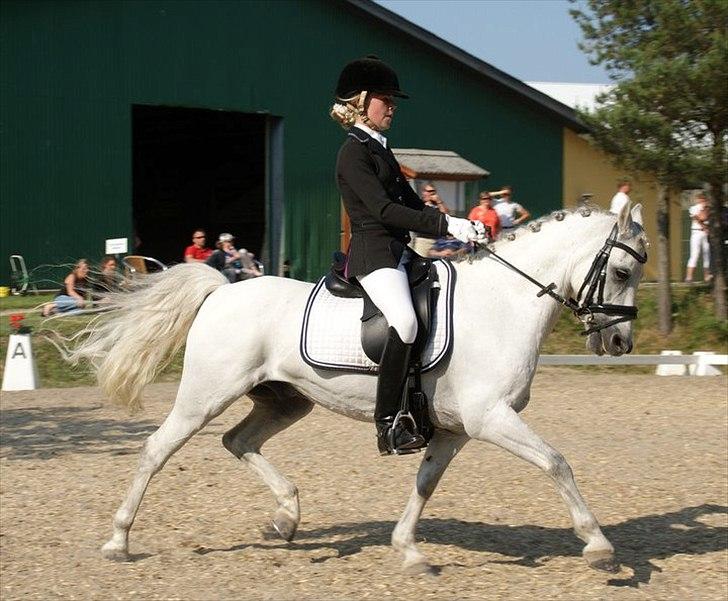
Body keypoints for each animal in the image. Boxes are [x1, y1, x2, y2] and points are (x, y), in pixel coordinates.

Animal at [68, 202, 648, 572]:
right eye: (621, 271)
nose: (620, 342)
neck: (501, 303)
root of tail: (222, 288)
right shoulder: (491, 418)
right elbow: (556, 463)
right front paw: (598, 544)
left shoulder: (457, 429)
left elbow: (425, 482)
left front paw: (408, 550)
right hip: (204, 396)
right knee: (157, 449)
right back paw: (118, 540)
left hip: (285, 401)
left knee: (239, 441)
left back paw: (286, 519)